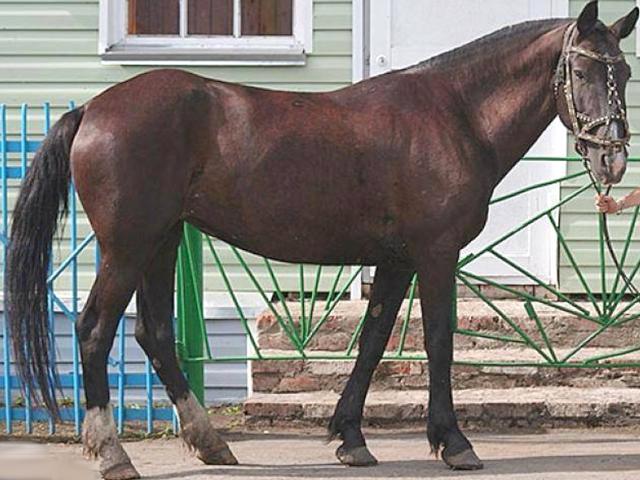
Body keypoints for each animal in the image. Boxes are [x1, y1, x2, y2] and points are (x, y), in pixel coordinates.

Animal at [7, 1, 638, 478]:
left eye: (625, 73)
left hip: (162, 242)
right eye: (583, 71)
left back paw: (211, 442)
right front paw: (453, 442)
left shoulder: (396, 261)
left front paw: (350, 437)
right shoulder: (435, 255)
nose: (613, 159)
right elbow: (437, 340)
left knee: (155, 333)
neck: (455, 114)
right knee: (94, 330)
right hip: (128, 246)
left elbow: (374, 340)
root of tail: (93, 110)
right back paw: (113, 454)